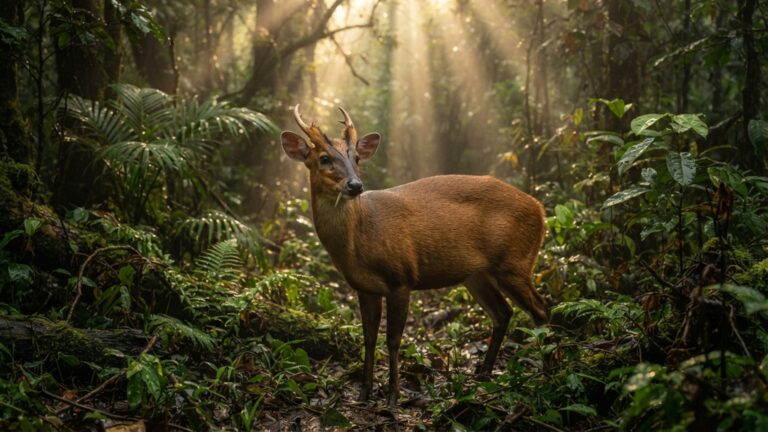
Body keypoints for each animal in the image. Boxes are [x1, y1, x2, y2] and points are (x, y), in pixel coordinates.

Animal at [280, 105, 549, 406]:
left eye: (357, 158)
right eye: (324, 158)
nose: (355, 185)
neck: (362, 236)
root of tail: (540, 209)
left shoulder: (402, 278)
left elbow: (393, 340)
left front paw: (393, 396)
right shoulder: (364, 287)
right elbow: (368, 338)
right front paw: (364, 393)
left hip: (514, 262)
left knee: (541, 309)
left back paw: (550, 374)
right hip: (477, 274)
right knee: (503, 313)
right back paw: (484, 375)